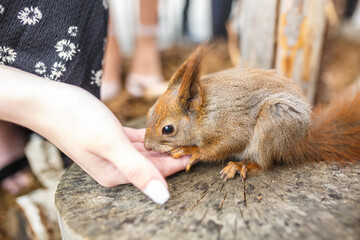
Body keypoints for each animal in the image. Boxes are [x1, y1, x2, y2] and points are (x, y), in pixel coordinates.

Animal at [143, 45, 360, 180]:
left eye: (168, 129)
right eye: (148, 114)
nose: (146, 146)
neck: (205, 112)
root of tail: (300, 144)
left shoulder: (230, 126)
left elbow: (223, 146)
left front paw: (191, 150)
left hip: (275, 120)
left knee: (264, 164)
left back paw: (242, 165)